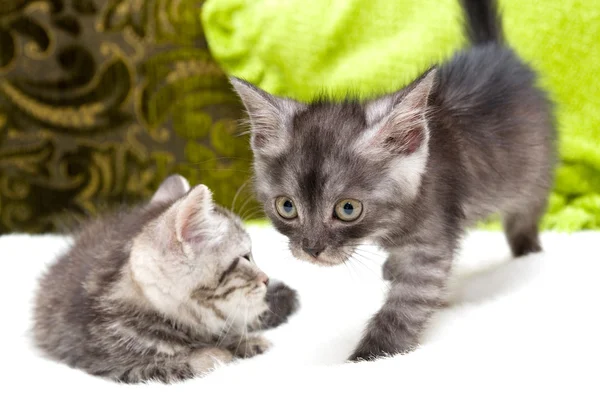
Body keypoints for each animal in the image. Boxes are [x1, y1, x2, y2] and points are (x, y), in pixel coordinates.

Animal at [31, 174, 298, 382]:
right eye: (244, 257)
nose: (265, 279)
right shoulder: (112, 365)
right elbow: (192, 362)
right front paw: (217, 353)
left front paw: (248, 342)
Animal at [229, 0, 552, 360]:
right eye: (287, 207)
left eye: (348, 209)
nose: (312, 249)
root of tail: (494, 51)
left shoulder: (429, 243)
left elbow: (406, 305)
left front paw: (370, 354)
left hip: (534, 173)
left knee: (524, 216)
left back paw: (527, 249)